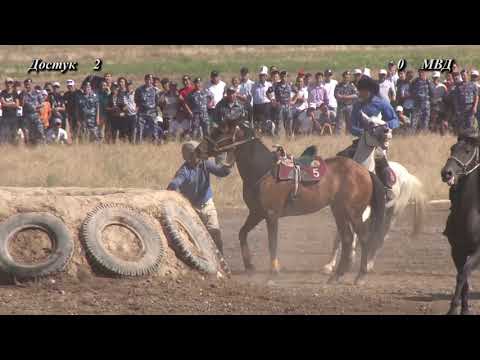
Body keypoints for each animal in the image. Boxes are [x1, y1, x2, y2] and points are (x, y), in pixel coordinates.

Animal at [195, 119, 386, 286]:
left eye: (220, 130)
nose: (199, 149)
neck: (263, 170)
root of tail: (365, 172)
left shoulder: (271, 215)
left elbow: (272, 244)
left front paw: (273, 273)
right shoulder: (256, 213)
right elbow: (242, 233)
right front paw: (250, 266)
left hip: (354, 213)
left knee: (363, 238)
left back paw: (360, 276)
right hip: (339, 211)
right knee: (347, 239)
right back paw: (336, 276)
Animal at [324, 112, 426, 272]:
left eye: (384, 121)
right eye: (371, 123)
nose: (387, 132)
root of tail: (408, 174)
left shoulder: (363, 211)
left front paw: (350, 256)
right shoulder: (341, 207)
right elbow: (338, 236)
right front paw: (330, 264)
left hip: (393, 213)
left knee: (382, 237)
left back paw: (369, 263)